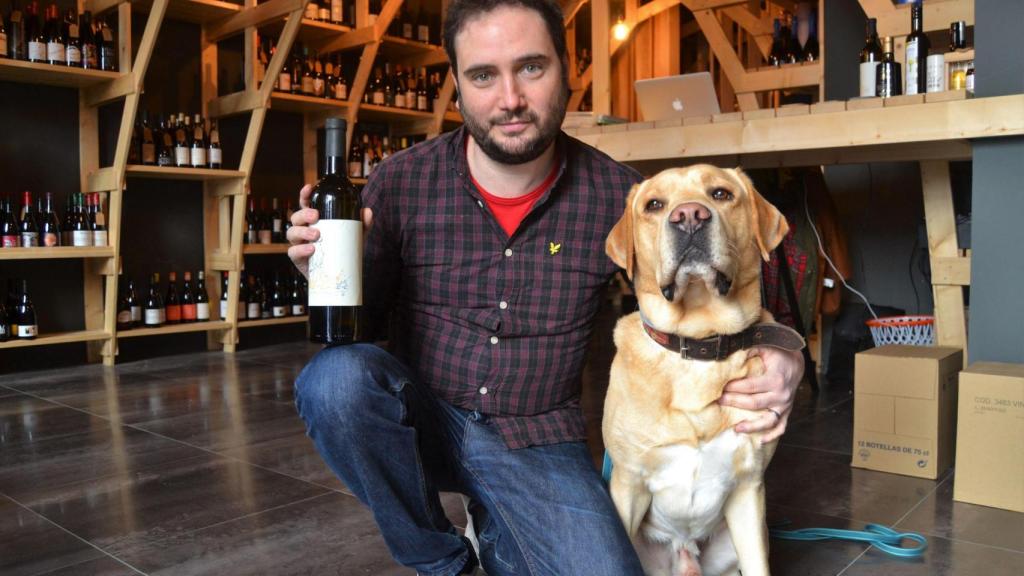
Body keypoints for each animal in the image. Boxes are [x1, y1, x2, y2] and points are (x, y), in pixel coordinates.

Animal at [602, 163, 802, 573]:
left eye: (721, 194)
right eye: (654, 205)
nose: (689, 216)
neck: (696, 347)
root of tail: (685, 552)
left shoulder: (748, 490)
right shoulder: (628, 486)